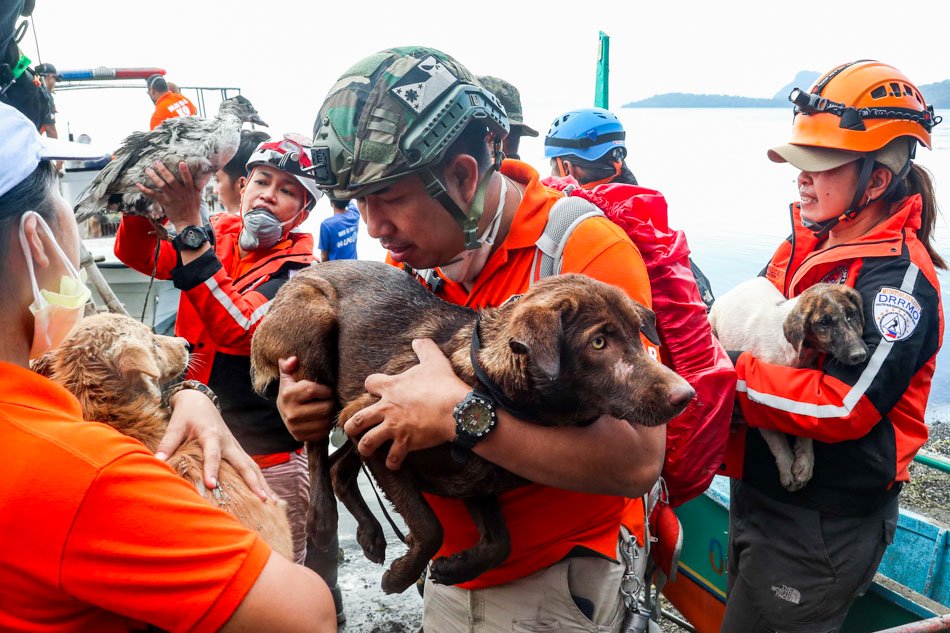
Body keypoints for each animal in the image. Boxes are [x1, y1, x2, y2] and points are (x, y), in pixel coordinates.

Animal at [708, 278, 872, 492]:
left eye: (851, 314)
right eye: (824, 323)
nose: (859, 355)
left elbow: (806, 429)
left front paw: (805, 463)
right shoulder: (758, 403)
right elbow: (777, 441)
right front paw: (788, 470)